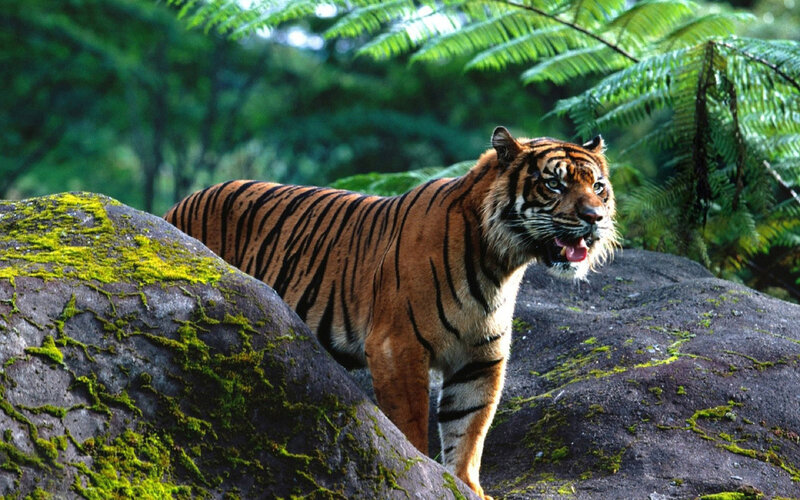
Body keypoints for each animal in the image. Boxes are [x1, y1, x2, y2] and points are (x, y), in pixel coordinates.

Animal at [164, 126, 618, 499]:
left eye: (598, 186)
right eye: (554, 184)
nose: (594, 217)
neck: (500, 263)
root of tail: (176, 206)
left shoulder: (480, 359)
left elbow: (469, 429)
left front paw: (466, 486)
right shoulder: (397, 346)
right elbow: (411, 423)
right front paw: (420, 475)